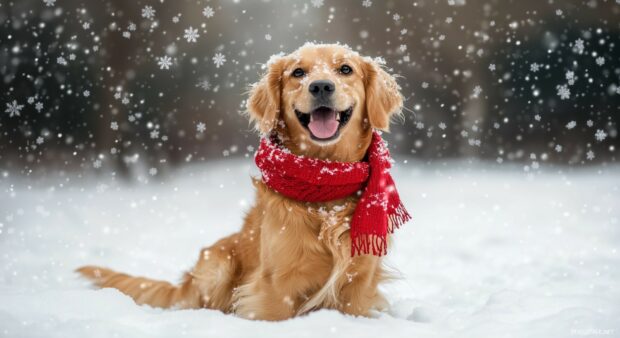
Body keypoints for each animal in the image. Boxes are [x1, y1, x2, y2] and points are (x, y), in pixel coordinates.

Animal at [77, 43, 404, 320]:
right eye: (298, 72)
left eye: (345, 69)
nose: (321, 85)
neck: (325, 182)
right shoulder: (275, 286)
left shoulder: (359, 282)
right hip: (217, 263)